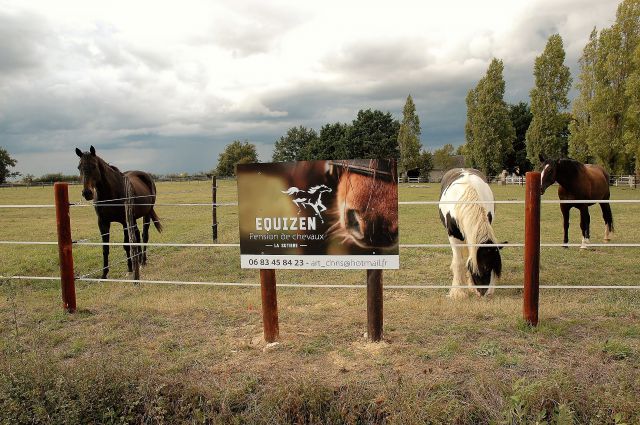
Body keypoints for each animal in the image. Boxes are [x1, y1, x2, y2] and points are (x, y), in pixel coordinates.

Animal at [74, 146, 162, 278]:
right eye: (79, 167)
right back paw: (138, 259)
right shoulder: (103, 222)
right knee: (137, 235)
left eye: (94, 166)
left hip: (146, 214)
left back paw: (142, 262)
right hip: (133, 219)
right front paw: (104, 274)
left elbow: (126, 245)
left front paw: (130, 269)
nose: (87, 193)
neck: (110, 194)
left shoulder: (124, 222)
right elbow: (105, 248)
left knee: (144, 235)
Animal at [438, 168, 502, 298]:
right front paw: (457, 292)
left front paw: (471, 286)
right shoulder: (453, 236)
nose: (487, 293)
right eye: (485, 267)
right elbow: (458, 262)